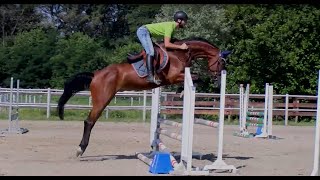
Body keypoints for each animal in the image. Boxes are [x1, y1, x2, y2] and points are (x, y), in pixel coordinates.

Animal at [57, 36, 230, 156]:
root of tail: (96, 74)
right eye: (222, 63)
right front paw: (181, 90)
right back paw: (81, 149)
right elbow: (197, 77)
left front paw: (180, 91)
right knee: (89, 122)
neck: (179, 53)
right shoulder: (173, 77)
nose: (218, 82)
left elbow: (195, 77)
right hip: (102, 100)